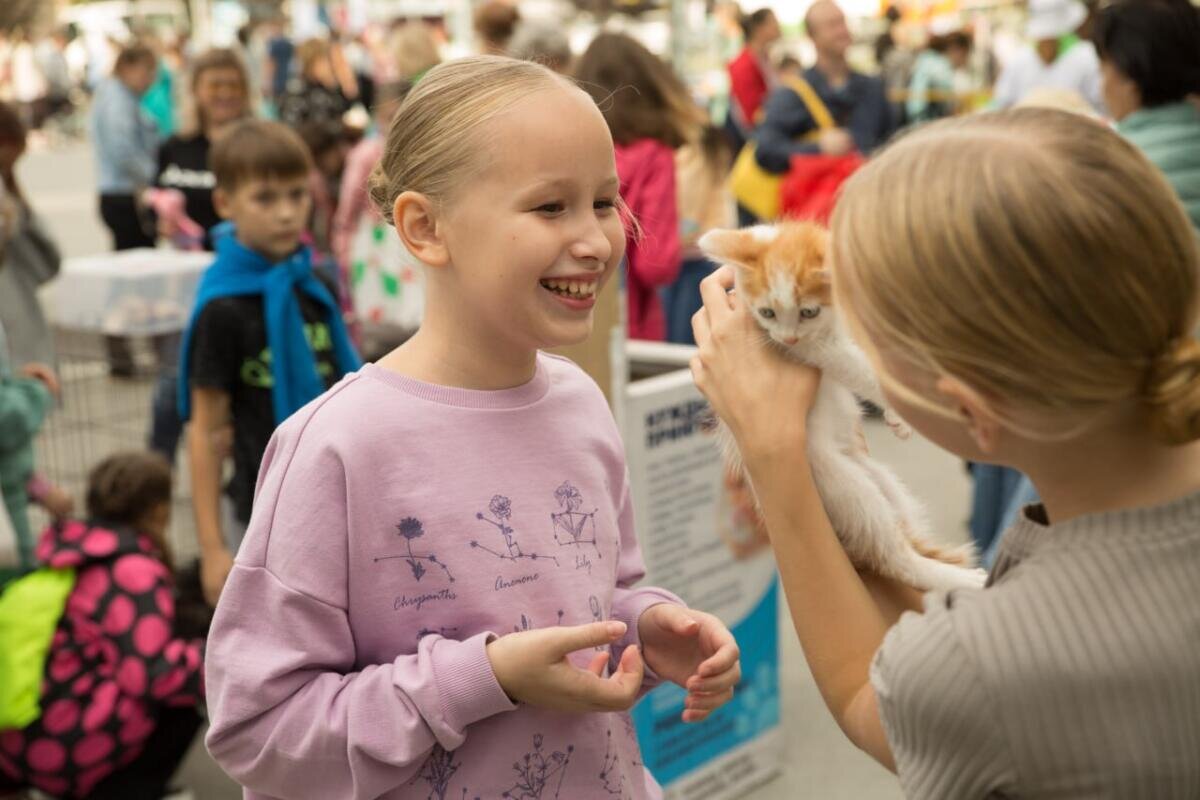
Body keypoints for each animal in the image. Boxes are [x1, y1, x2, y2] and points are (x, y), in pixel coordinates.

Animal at [696, 221, 984, 592]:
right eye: (767, 313)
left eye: (808, 311)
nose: (787, 338)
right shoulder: (815, 350)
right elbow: (859, 368)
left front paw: (900, 415)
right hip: (842, 486)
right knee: (892, 556)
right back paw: (959, 578)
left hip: (880, 479)